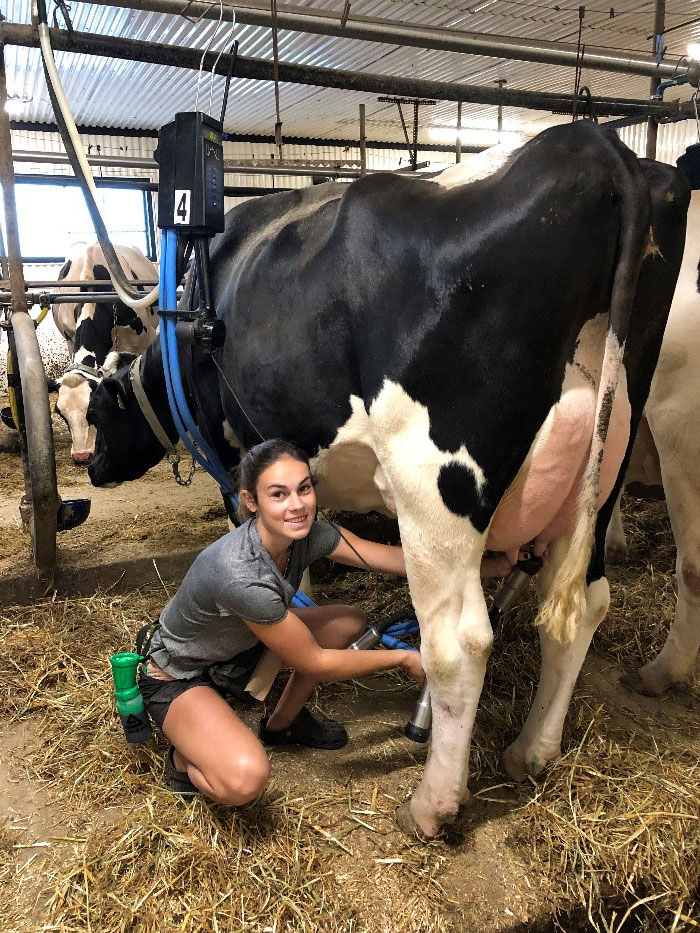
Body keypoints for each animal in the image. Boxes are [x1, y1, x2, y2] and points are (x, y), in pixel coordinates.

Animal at [83, 125, 688, 836]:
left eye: (96, 413)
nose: (90, 468)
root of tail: (594, 145)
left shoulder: (235, 461)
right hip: (607, 460)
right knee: (581, 607)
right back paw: (531, 752)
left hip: (432, 483)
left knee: (459, 644)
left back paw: (432, 804)